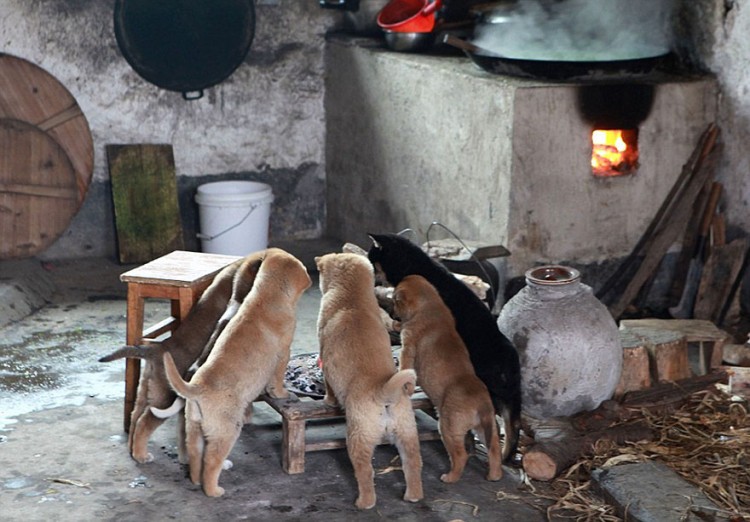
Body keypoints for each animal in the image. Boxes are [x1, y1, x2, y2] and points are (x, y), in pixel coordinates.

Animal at [162, 248, 312, 496]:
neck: (265, 294)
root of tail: (197, 387)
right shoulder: (283, 353)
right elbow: (277, 381)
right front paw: (283, 394)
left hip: (194, 428)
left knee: (196, 460)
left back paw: (197, 480)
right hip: (227, 430)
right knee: (210, 462)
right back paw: (214, 490)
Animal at [316, 252, 424, 508]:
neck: (351, 298)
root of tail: (384, 391)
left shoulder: (325, 356)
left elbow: (329, 387)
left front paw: (328, 401)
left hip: (358, 436)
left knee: (365, 472)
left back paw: (364, 502)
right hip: (407, 433)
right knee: (413, 466)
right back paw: (413, 496)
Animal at [370, 232, 524, 460]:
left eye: (372, 260)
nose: (371, 280)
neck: (414, 265)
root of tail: (510, 361)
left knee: (496, 426)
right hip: (508, 398)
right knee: (512, 427)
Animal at [394, 274, 506, 482]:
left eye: (396, 302)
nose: (393, 313)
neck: (430, 305)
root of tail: (482, 403)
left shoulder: (408, 346)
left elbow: (405, 367)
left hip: (448, 428)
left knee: (460, 455)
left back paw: (450, 477)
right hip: (484, 429)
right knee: (494, 451)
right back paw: (494, 476)